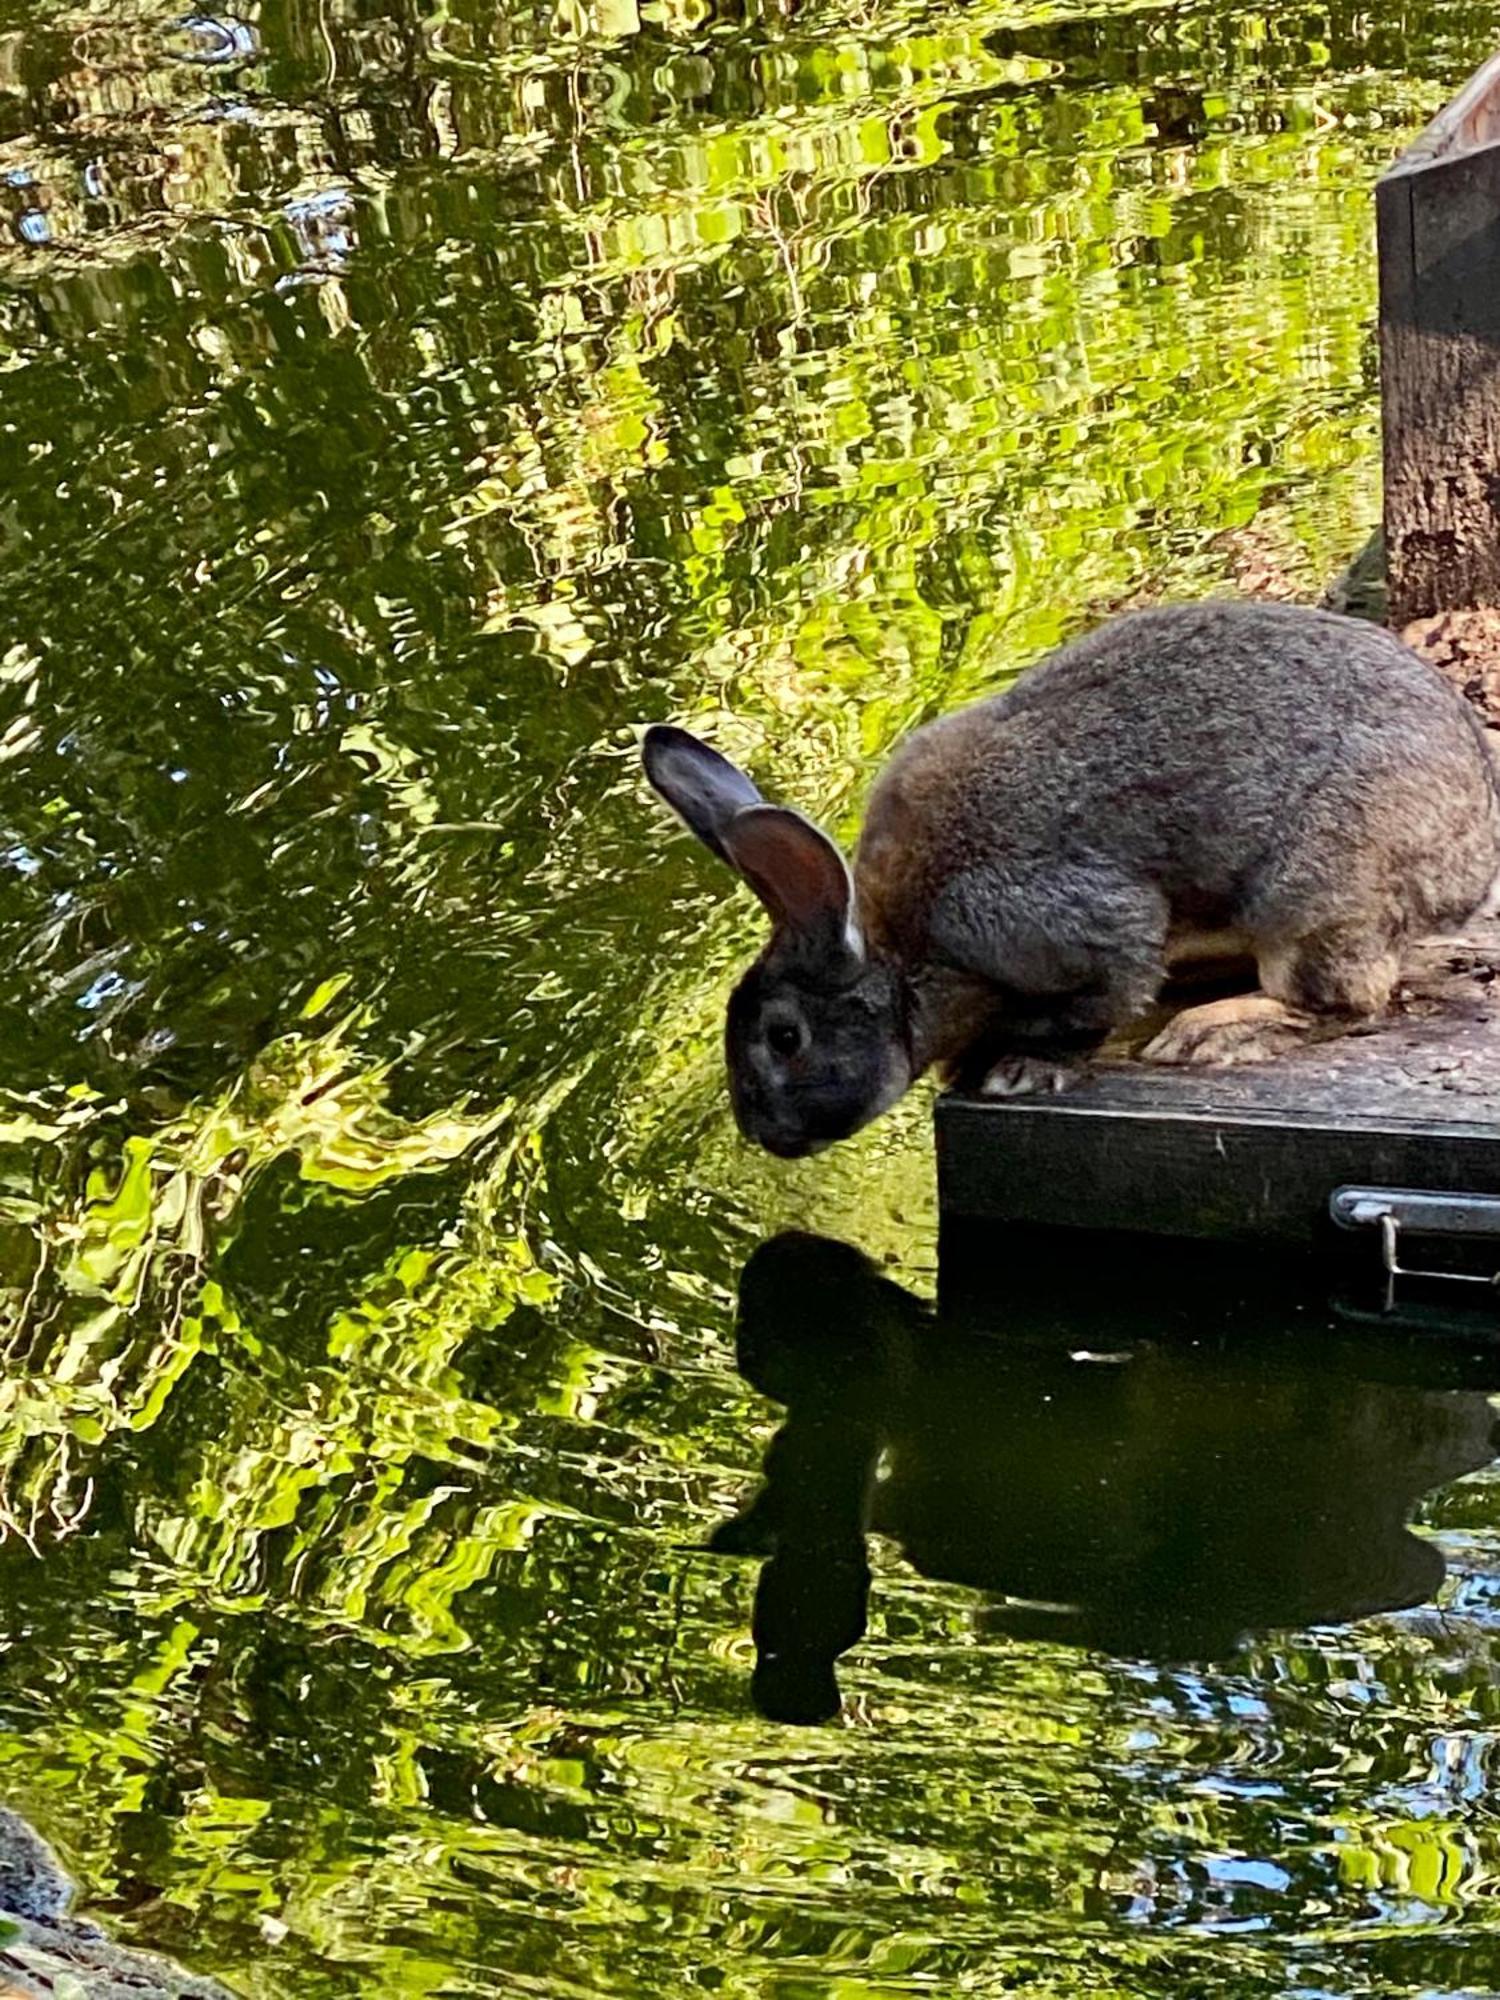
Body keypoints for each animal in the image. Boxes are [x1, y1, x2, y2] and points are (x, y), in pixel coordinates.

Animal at [644, 592, 1500, 1160]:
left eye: (784, 1038)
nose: (765, 1136)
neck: (909, 960)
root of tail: (1472, 852)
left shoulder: (1076, 928)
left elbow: (1100, 997)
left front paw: (1016, 1068)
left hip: (1314, 896)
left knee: (1342, 1002)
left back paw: (1207, 1033)